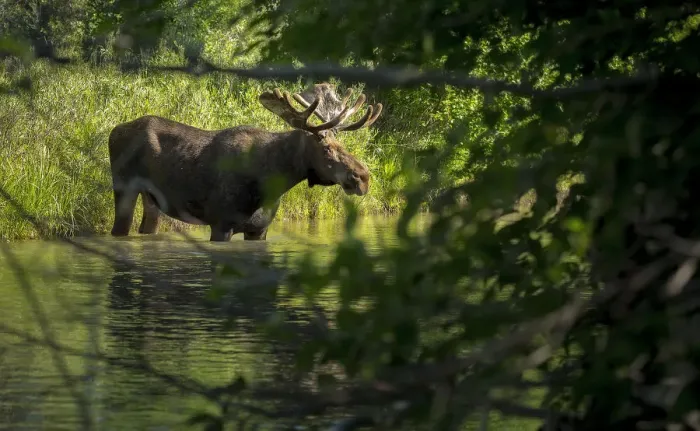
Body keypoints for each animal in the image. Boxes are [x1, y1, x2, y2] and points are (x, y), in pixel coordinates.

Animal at [106, 82, 383, 241]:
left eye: (342, 145)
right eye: (326, 148)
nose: (363, 178)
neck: (271, 181)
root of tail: (114, 130)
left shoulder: (259, 230)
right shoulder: (220, 224)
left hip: (152, 199)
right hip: (123, 188)